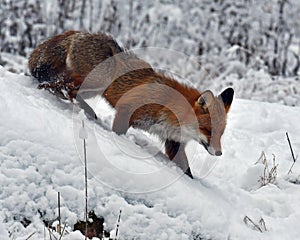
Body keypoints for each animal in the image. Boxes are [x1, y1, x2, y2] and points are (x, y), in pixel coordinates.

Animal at [28, 31, 234, 178]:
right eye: (208, 130)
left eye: (220, 133)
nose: (219, 153)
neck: (172, 115)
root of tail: (82, 32)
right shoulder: (127, 110)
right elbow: (118, 132)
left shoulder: (172, 142)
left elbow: (187, 171)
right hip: (98, 81)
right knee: (65, 86)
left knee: (72, 91)